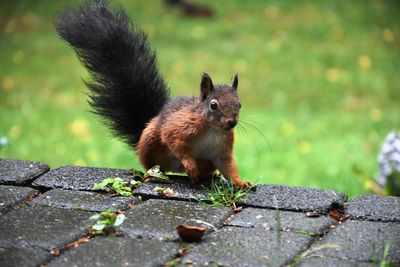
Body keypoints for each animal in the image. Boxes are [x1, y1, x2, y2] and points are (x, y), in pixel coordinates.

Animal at [55, 0, 252, 188]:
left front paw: (241, 182)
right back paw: (157, 173)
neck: (213, 129)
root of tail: (175, 170)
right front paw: (190, 164)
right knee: (154, 165)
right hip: (150, 141)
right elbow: (174, 141)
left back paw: (209, 175)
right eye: (213, 105)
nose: (231, 122)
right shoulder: (180, 126)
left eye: (239, 104)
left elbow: (228, 166)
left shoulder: (222, 149)